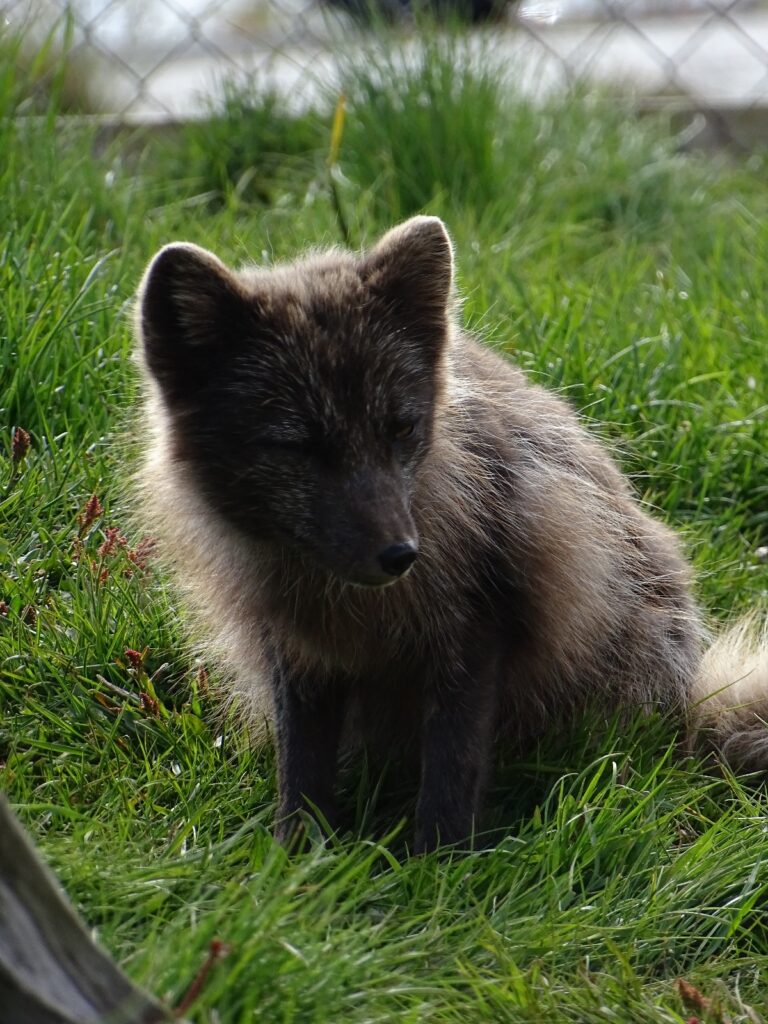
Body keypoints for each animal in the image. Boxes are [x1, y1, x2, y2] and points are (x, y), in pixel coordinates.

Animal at [137, 214, 768, 847]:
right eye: (298, 447)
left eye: (400, 428)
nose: (400, 555)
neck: (352, 608)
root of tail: (691, 704)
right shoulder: (298, 653)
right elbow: (301, 774)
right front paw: (296, 857)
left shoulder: (474, 632)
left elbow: (451, 770)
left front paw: (437, 863)